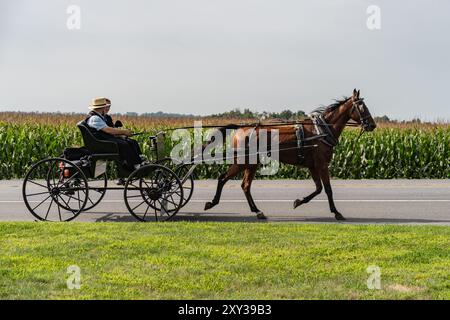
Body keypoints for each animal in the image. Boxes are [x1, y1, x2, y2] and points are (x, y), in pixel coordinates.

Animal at [204, 89, 376, 221]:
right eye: (361, 106)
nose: (372, 125)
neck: (321, 131)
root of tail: (242, 128)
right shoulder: (321, 164)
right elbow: (328, 189)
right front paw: (337, 212)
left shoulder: (313, 166)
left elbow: (319, 188)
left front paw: (298, 201)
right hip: (243, 161)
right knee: (223, 178)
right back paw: (212, 202)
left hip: (252, 163)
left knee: (245, 186)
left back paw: (257, 211)